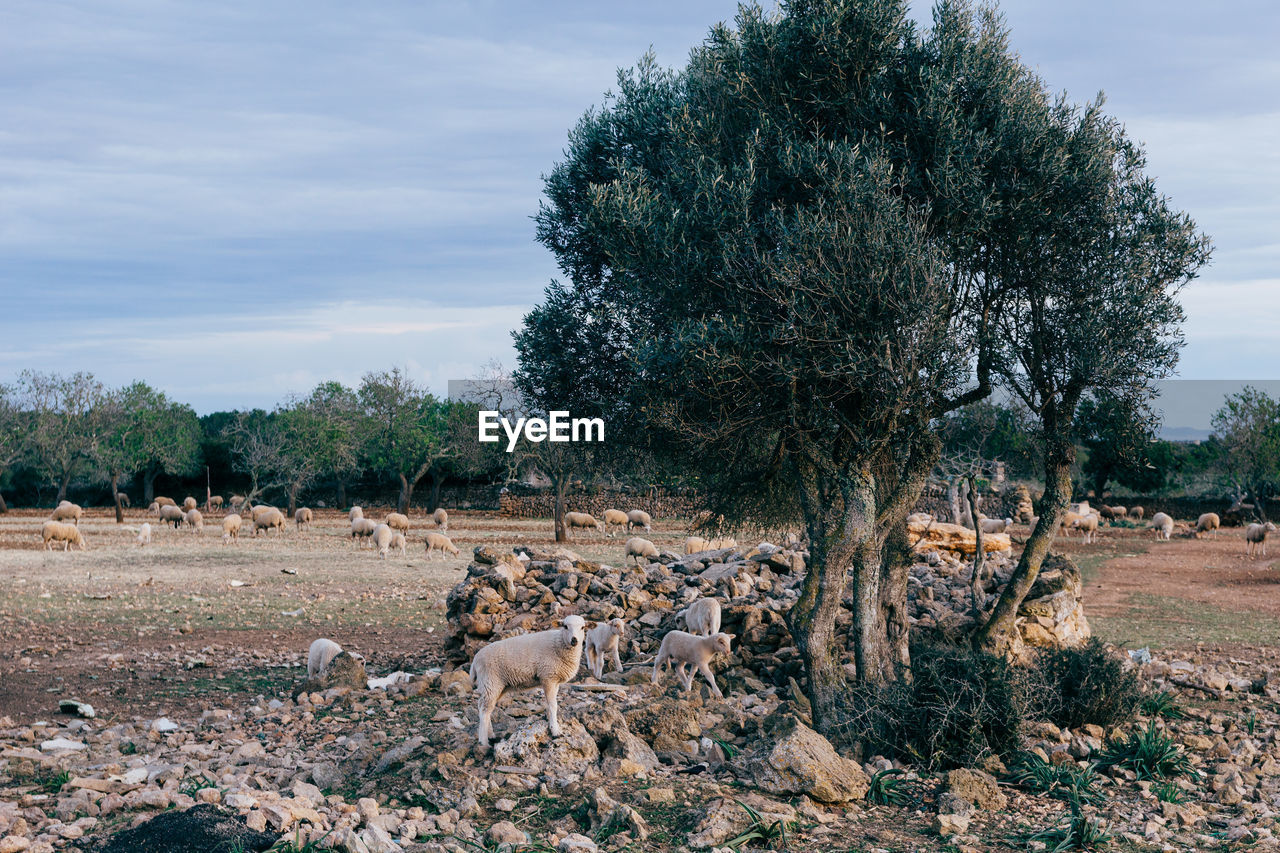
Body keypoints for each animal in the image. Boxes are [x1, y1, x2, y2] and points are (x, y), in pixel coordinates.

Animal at [471, 612, 588, 742]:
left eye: (583, 627)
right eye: (565, 626)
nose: (574, 640)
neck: (558, 642)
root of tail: (475, 660)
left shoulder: (554, 680)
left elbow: (549, 705)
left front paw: (550, 724)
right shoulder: (548, 677)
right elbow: (553, 705)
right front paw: (555, 731)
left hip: (497, 686)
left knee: (486, 708)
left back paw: (490, 735)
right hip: (490, 681)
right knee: (484, 709)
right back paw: (483, 741)